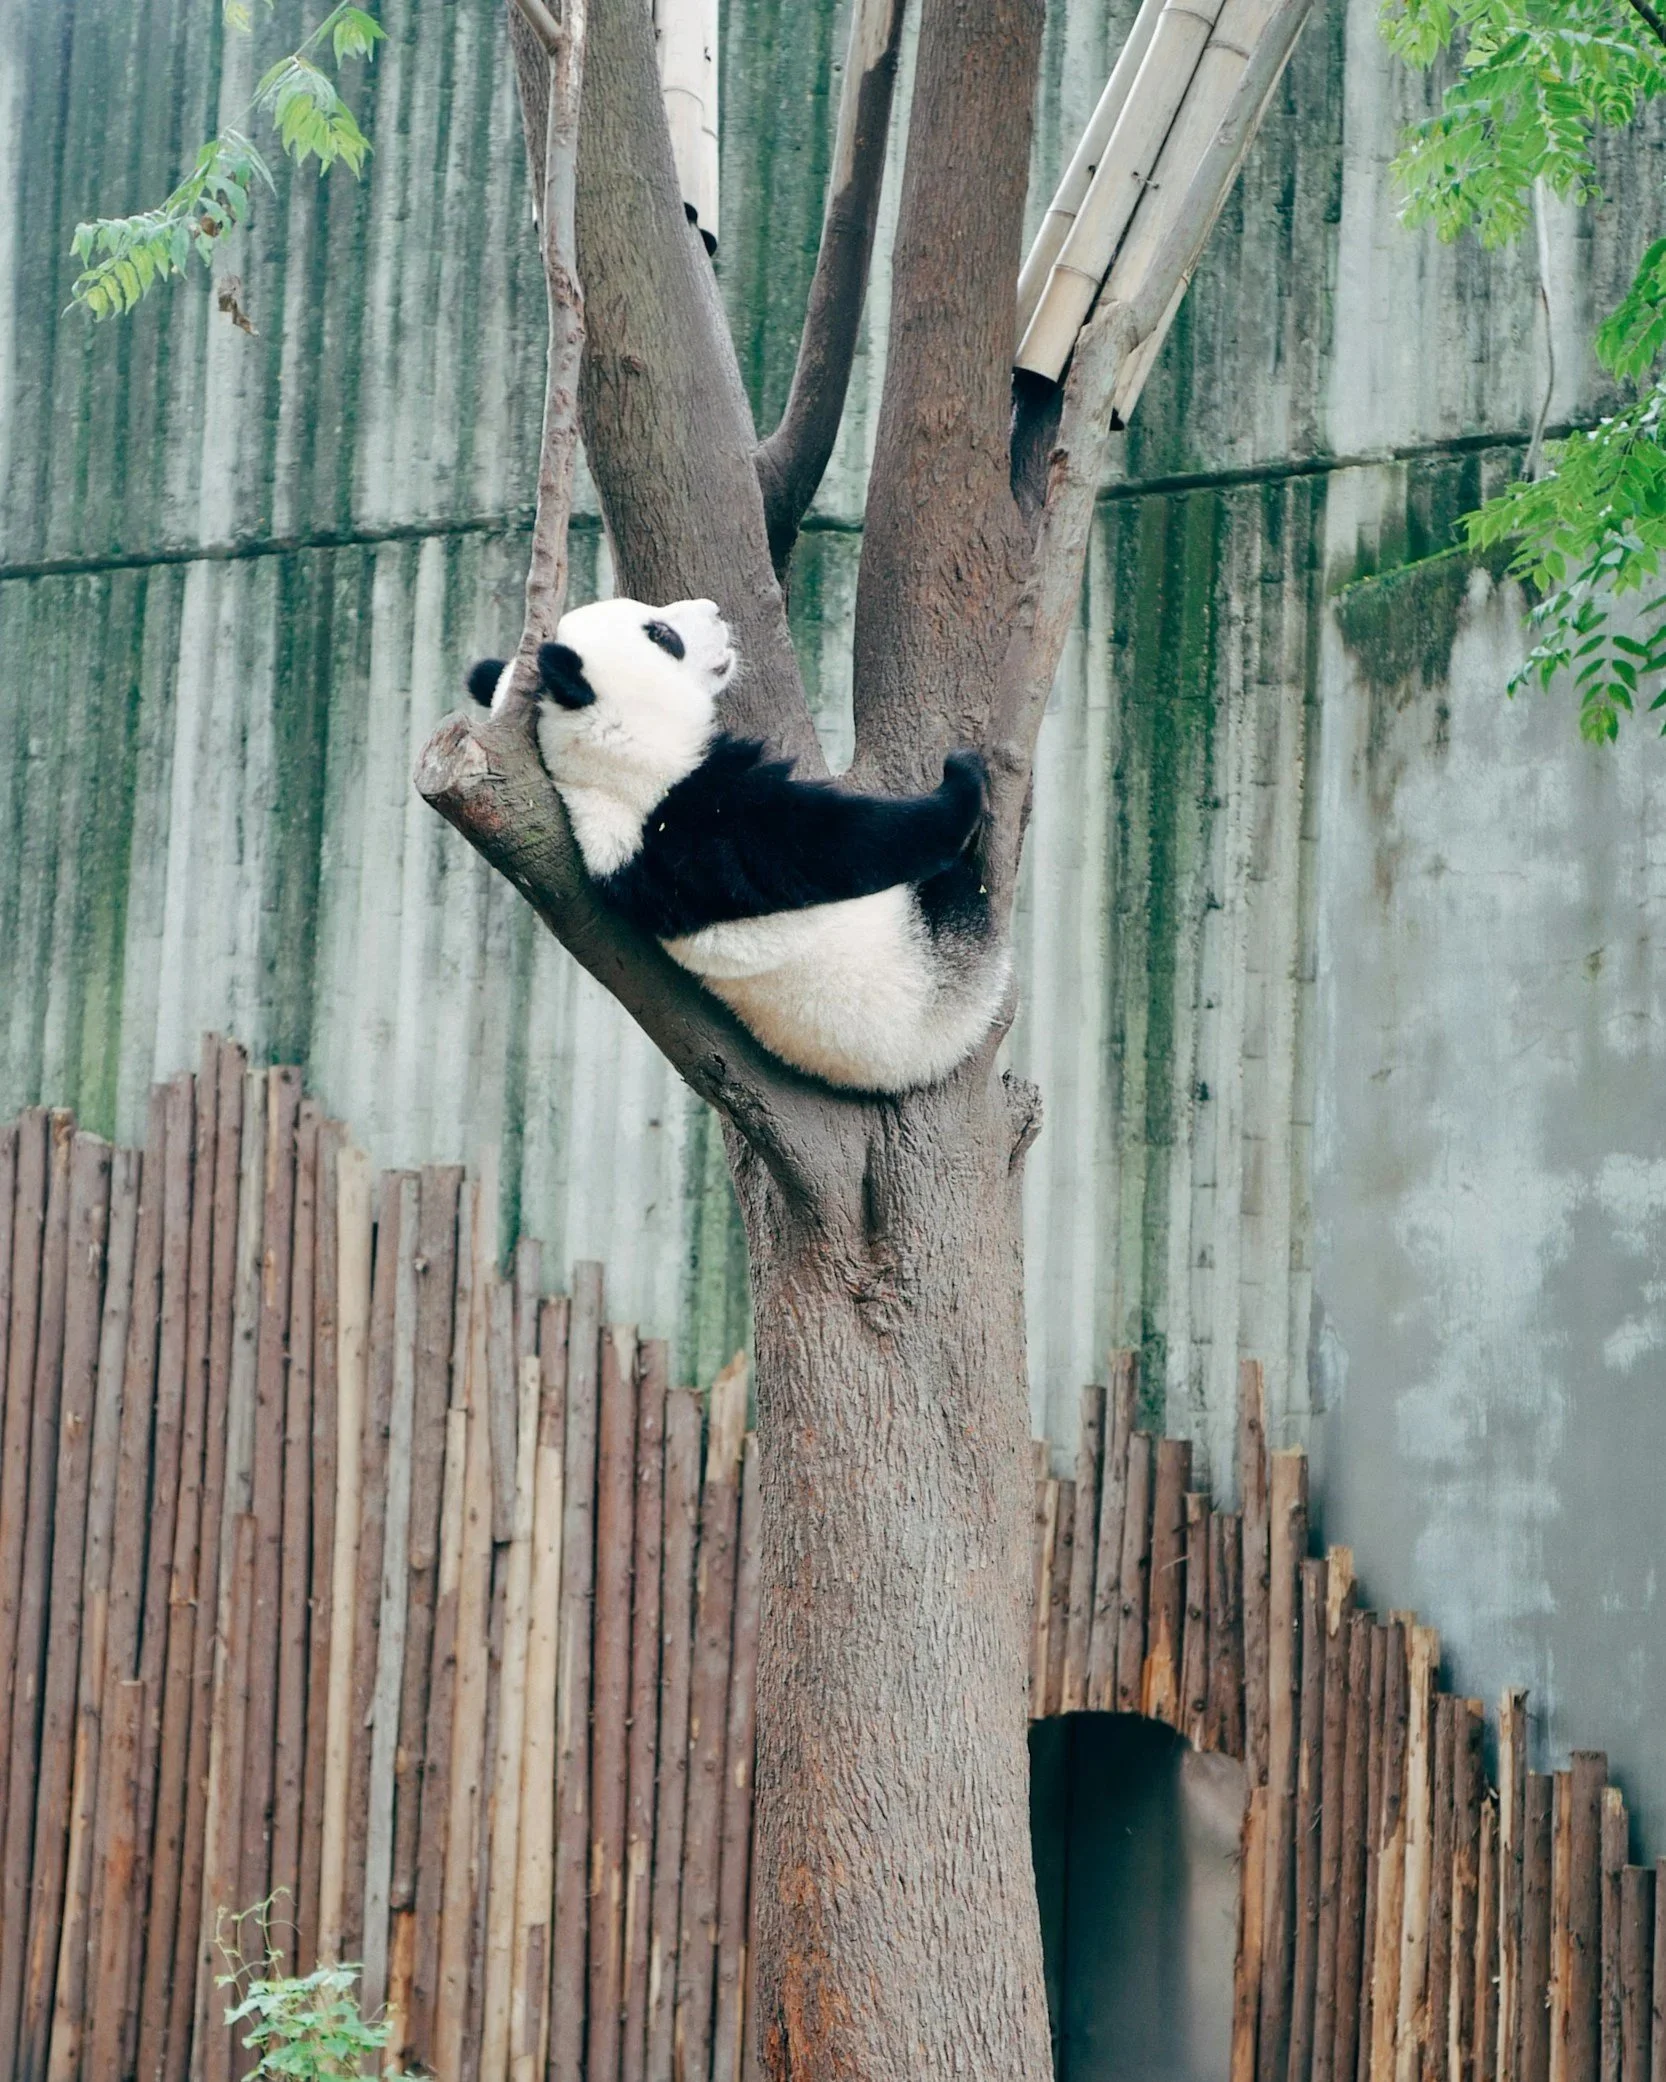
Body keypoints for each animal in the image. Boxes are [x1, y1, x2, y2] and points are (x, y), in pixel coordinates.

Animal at [467, 595, 1012, 1094]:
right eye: (661, 635)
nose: (714, 609)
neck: (603, 761)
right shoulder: (697, 819)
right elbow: (840, 843)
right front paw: (960, 783)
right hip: (933, 965)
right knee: (956, 901)